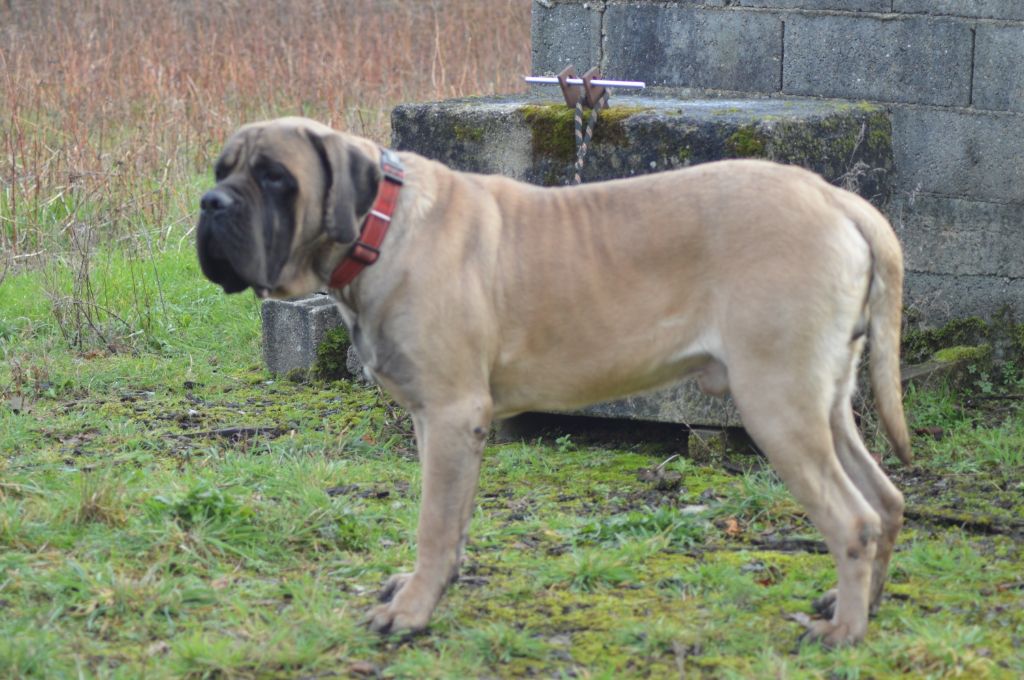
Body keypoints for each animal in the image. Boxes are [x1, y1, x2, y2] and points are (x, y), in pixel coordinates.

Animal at [197, 116, 913, 647]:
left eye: (274, 177)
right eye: (220, 171)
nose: (210, 204)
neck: (384, 222)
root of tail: (837, 197)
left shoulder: (452, 413)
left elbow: (432, 523)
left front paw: (410, 614)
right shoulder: (437, 421)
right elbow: (449, 521)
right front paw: (429, 589)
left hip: (776, 403)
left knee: (852, 518)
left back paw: (843, 633)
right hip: (823, 402)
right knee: (884, 501)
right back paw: (861, 606)